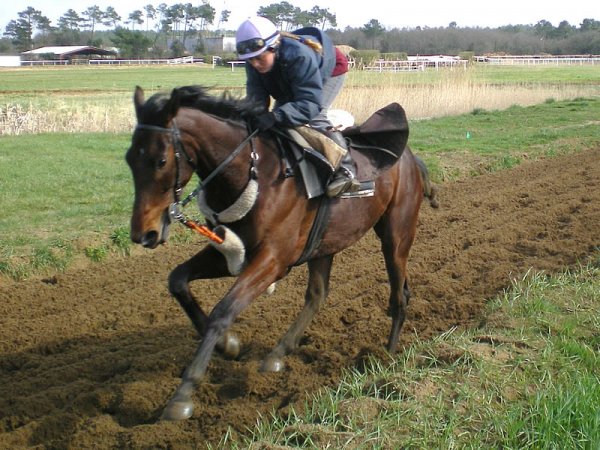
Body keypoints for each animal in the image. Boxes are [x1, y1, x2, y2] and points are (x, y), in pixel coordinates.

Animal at [125, 84, 436, 422]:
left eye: (161, 160)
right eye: (129, 159)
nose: (144, 233)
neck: (253, 173)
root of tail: (410, 158)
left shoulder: (273, 260)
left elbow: (223, 310)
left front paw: (183, 394)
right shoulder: (230, 252)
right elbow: (177, 280)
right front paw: (228, 344)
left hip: (396, 234)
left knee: (398, 294)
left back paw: (387, 358)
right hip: (325, 243)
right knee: (317, 295)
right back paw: (278, 353)